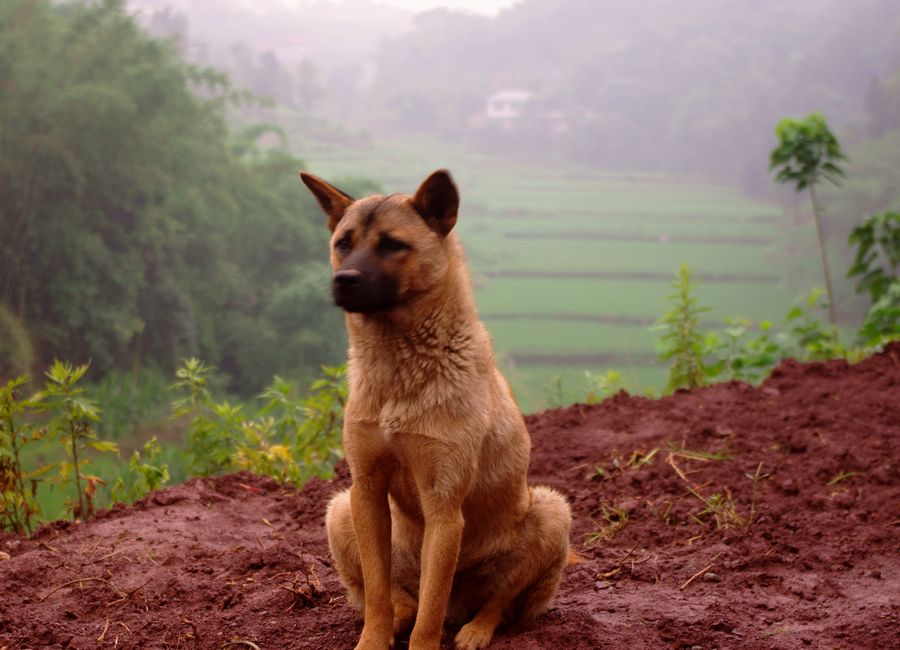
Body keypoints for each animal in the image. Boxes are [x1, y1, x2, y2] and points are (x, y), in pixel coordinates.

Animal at [300, 168, 568, 648]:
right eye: (343, 243)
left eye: (393, 244)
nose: (344, 279)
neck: (400, 371)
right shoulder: (366, 489)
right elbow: (378, 592)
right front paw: (373, 639)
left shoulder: (443, 506)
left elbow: (432, 608)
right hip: (340, 510)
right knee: (395, 595)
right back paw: (400, 614)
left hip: (553, 513)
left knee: (495, 604)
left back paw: (475, 630)